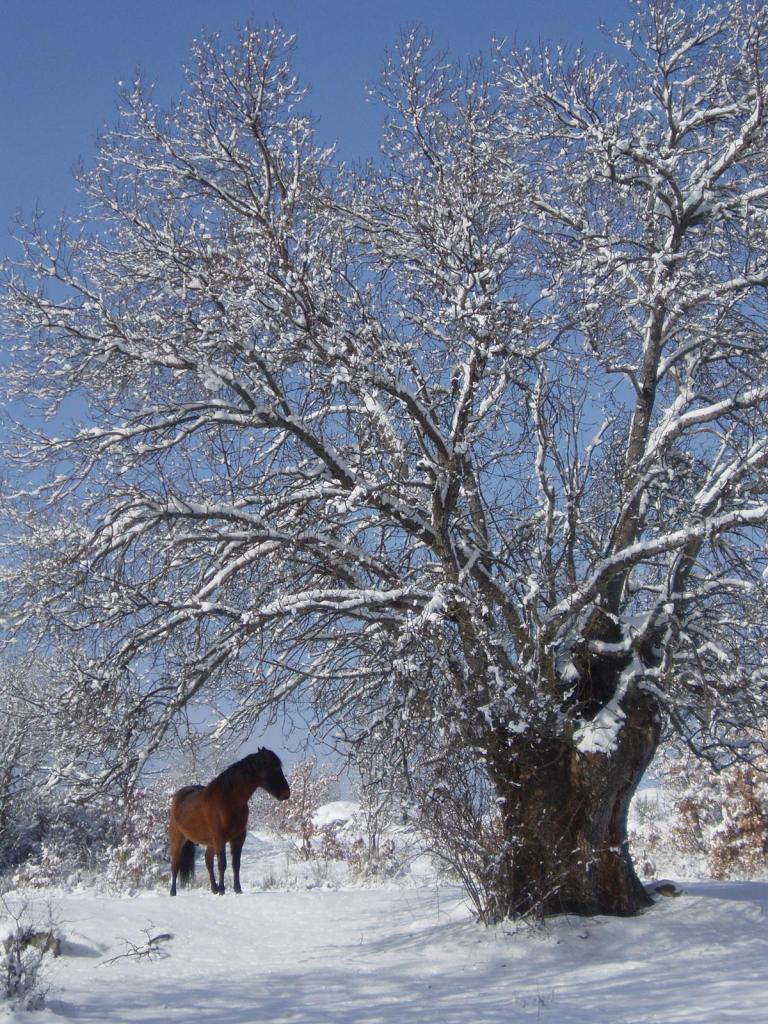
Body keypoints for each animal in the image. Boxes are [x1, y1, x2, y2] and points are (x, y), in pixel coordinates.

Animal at [167, 745, 288, 897]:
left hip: (210, 842)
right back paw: (173, 892)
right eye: (274, 768)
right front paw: (223, 891)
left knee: (208, 861)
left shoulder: (238, 838)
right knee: (175, 865)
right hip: (178, 839)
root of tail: (179, 795)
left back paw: (214, 888)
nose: (286, 793)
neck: (229, 800)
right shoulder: (220, 838)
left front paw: (237, 890)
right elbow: (222, 864)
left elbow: (236, 864)